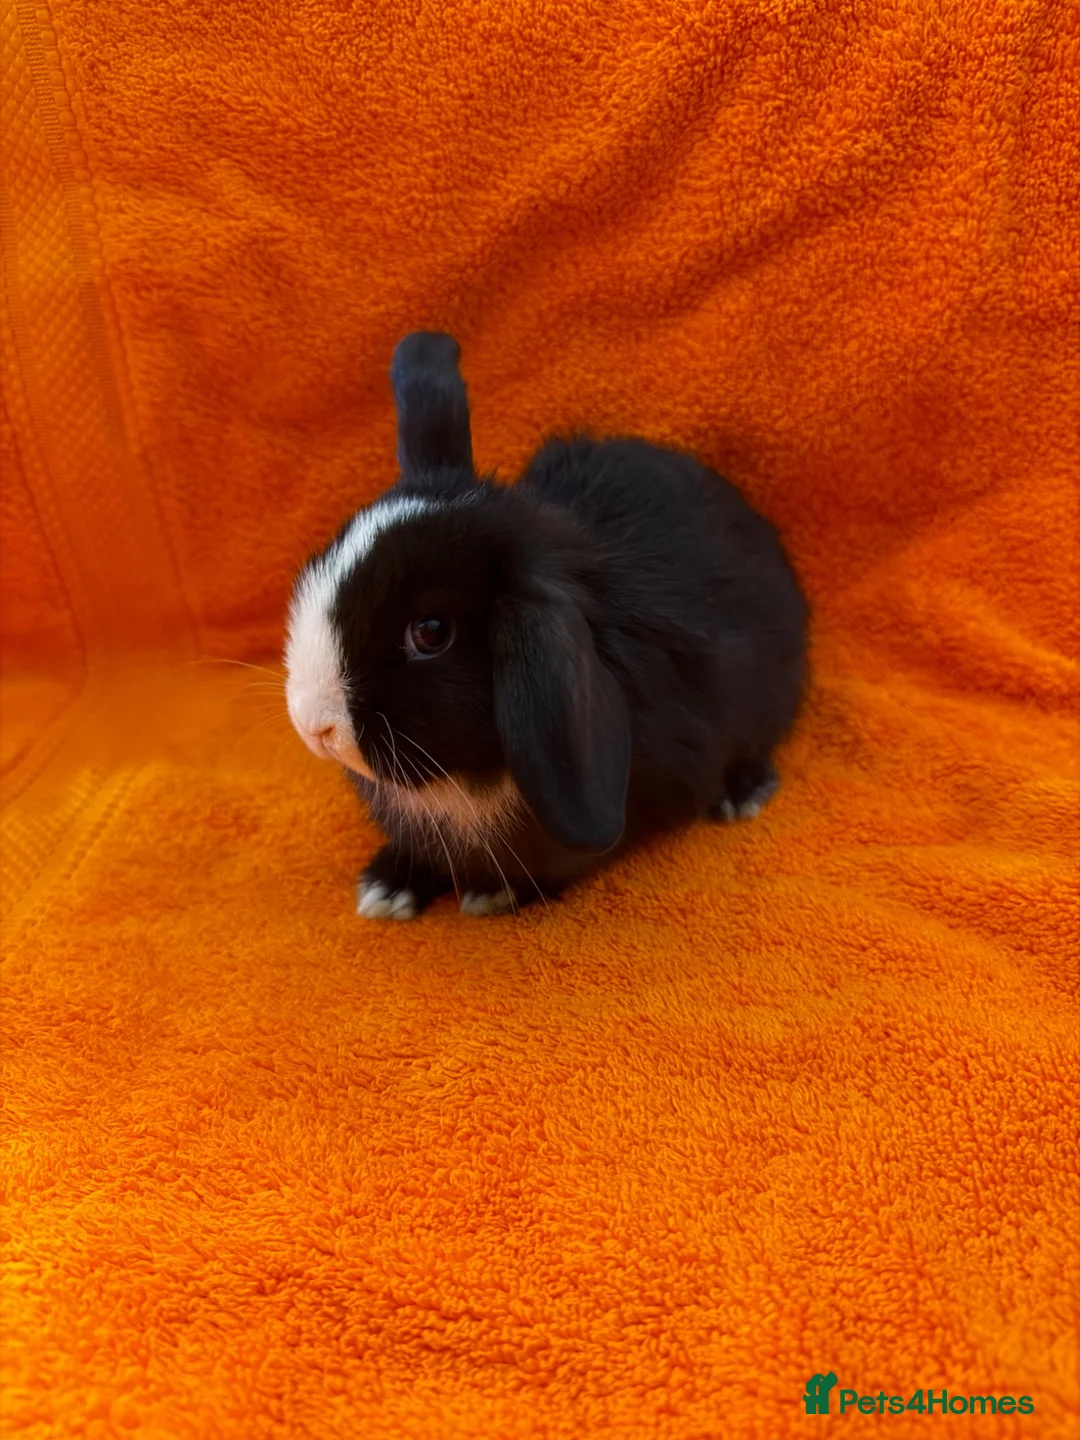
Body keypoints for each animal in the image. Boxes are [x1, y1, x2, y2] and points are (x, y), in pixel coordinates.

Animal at [285, 331, 808, 919]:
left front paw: (492, 893)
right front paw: (387, 886)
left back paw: (743, 792)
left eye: (430, 632)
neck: (464, 781)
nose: (312, 724)